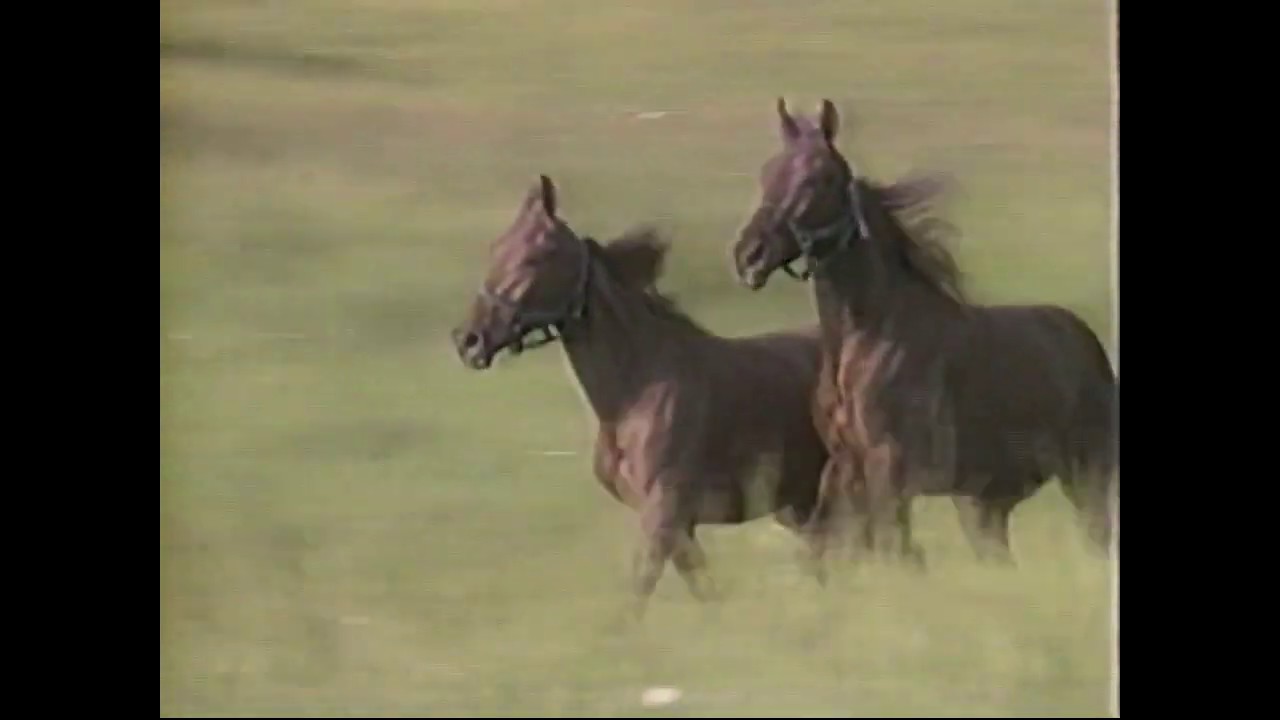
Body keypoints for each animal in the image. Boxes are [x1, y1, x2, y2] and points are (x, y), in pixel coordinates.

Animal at [451, 175, 832, 618]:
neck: (634, 395)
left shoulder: (664, 511)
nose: (469, 340)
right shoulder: (677, 524)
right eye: (497, 248)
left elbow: (639, 589)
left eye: (535, 256)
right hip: (798, 503)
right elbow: (702, 588)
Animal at [728, 98, 1117, 575]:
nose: (749, 255)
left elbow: (896, 549)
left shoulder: (890, 467)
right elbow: (827, 546)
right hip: (982, 503)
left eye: (817, 178)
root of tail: (1085, 340)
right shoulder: (844, 466)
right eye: (768, 172)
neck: (867, 339)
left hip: (1086, 474)